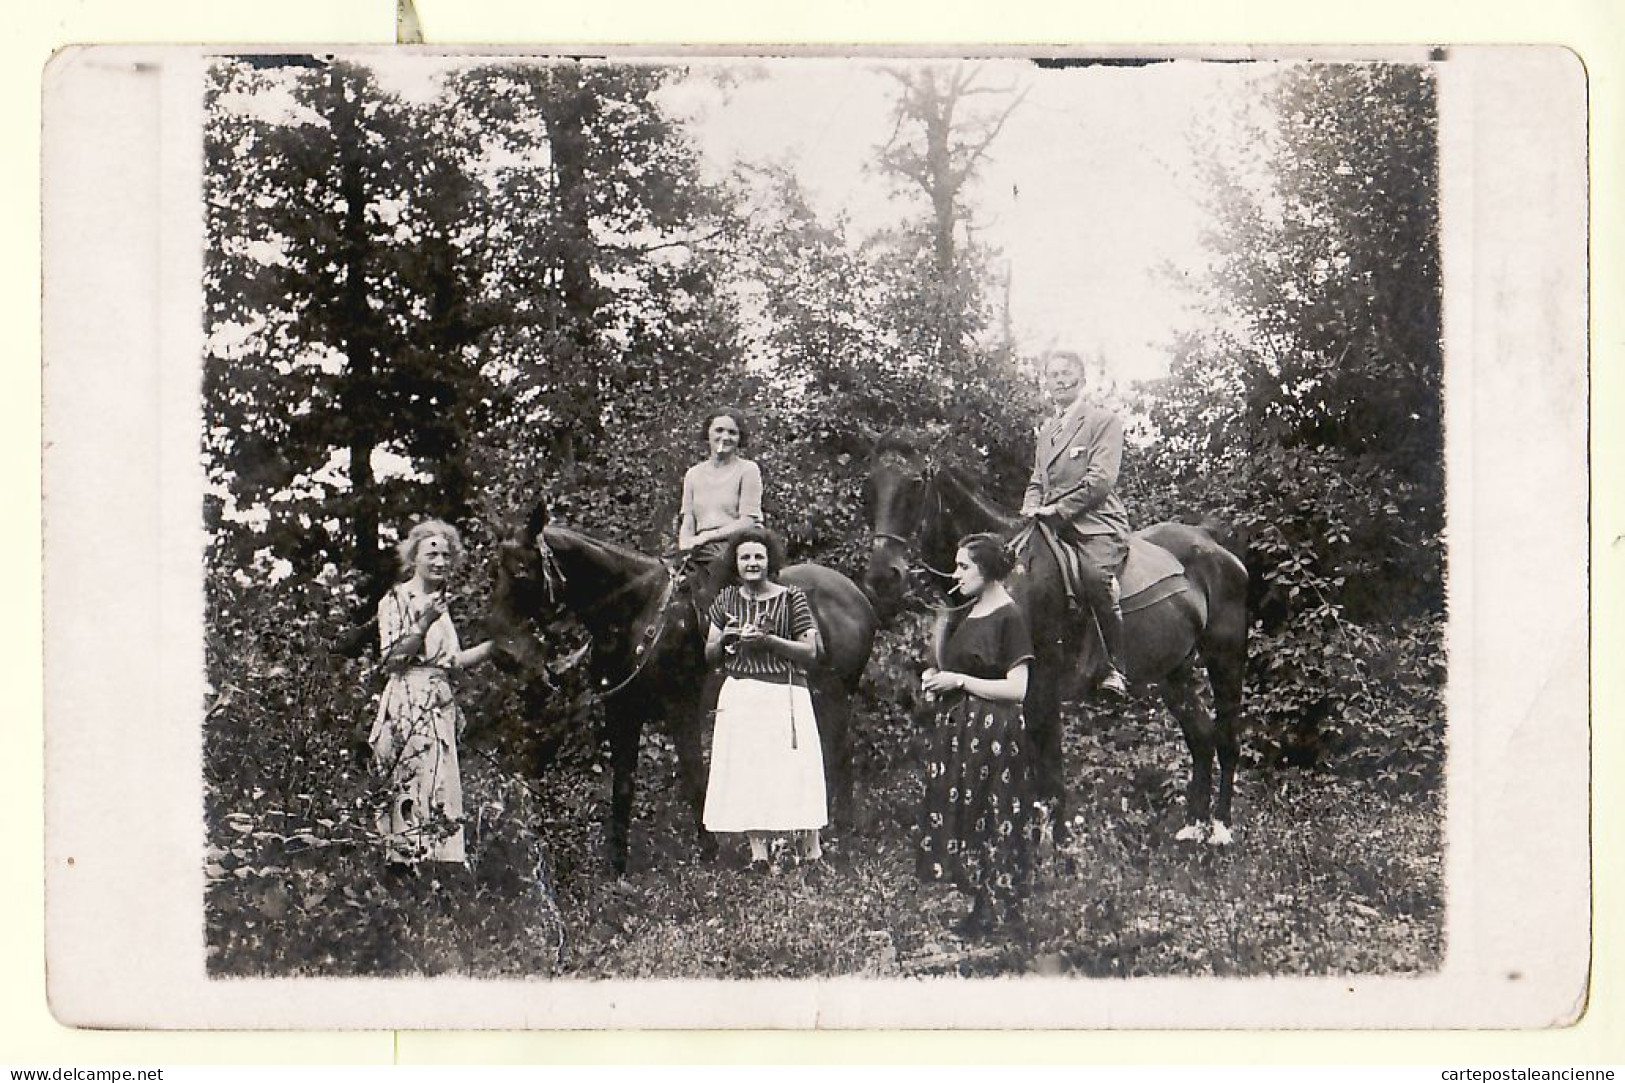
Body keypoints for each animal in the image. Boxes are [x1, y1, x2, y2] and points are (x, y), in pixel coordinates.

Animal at [490, 497, 884, 871]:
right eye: (498, 573)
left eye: (522, 573)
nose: (504, 656)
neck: (635, 613)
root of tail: (857, 595)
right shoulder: (621, 711)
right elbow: (623, 787)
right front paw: (617, 865)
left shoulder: (681, 709)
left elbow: (695, 776)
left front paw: (711, 852)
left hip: (833, 696)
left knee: (840, 752)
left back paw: (842, 830)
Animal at [871, 435, 1248, 839]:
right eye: (872, 486)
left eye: (914, 484)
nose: (883, 575)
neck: (1005, 574)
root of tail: (1211, 541)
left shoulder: (1042, 687)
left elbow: (1049, 772)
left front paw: (1056, 843)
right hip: (1175, 671)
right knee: (1201, 736)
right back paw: (1193, 826)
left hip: (1225, 660)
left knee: (1227, 738)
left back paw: (1221, 828)